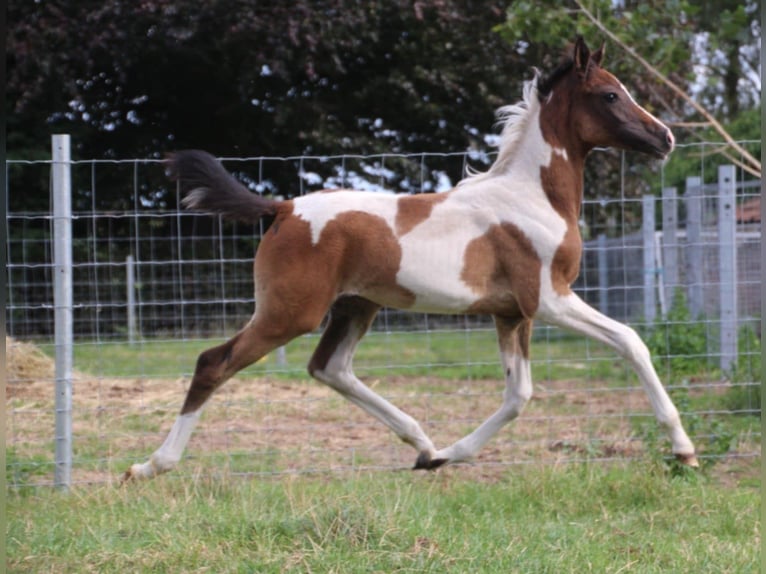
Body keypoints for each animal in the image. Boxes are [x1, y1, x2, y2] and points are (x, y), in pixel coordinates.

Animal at [124, 37, 698, 481]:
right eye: (610, 94)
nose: (665, 137)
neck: (531, 196)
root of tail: (282, 207)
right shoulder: (548, 299)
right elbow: (630, 342)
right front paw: (684, 450)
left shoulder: (511, 313)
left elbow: (518, 395)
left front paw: (447, 456)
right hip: (290, 312)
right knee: (214, 363)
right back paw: (150, 466)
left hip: (355, 306)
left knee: (329, 367)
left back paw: (423, 446)